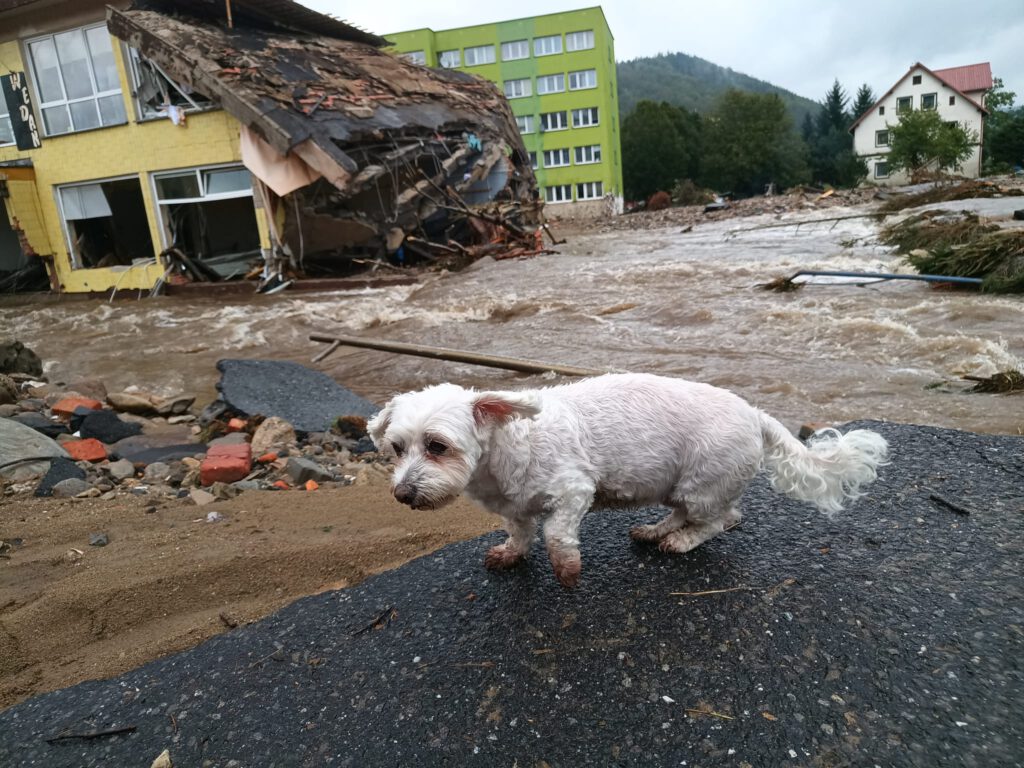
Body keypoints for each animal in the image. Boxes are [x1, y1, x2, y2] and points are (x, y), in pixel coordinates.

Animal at [368, 374, 888, 589]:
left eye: (437, 445)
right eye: (396, 448)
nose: (402, 494)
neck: (504, 445)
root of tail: (754, 413)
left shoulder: (575, 491)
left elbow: (556, 533)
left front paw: (567, 569)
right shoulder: (514, 508)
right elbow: (520, 532)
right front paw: (512, 554)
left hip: (704, 483)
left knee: (721, 520)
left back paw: (680, 542)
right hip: (679, 484)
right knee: (684, 512)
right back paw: (656, 530)